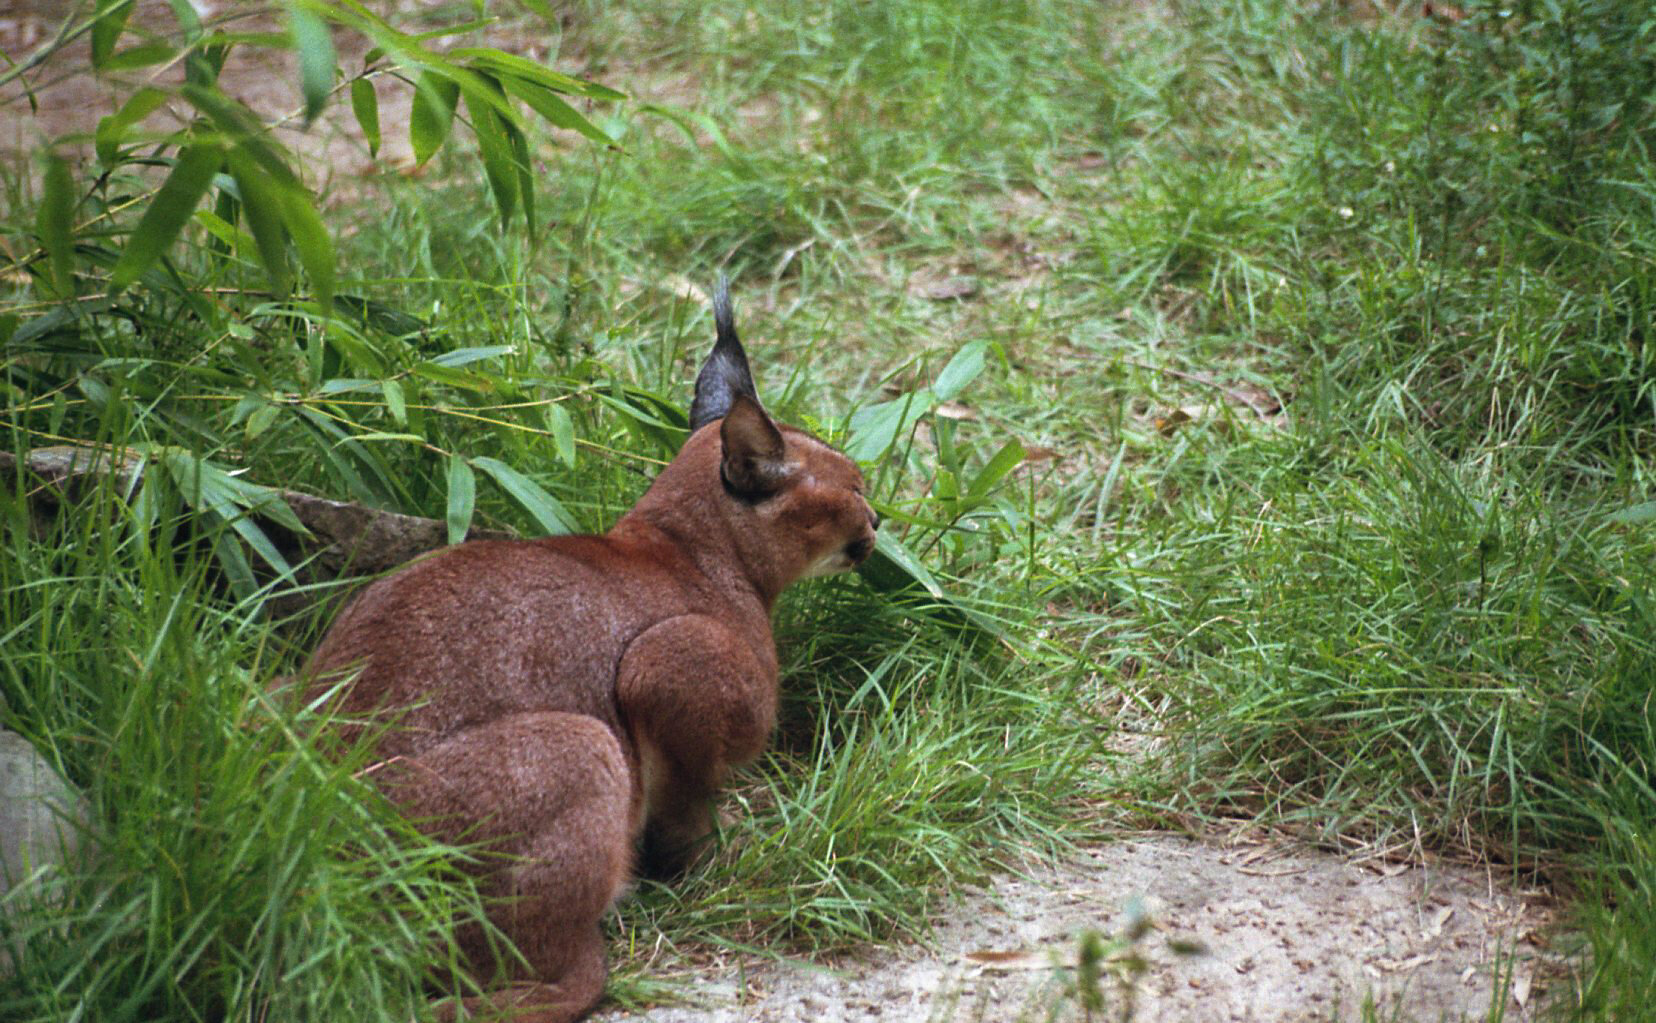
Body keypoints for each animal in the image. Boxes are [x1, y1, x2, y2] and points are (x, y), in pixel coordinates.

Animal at [299, 274, 880, 1013]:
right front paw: (707, 863)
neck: (691, 547)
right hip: (584, 745)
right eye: (855, 487)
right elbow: (691, 792)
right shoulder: (669, 659)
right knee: (551, 977)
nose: (877, 519)